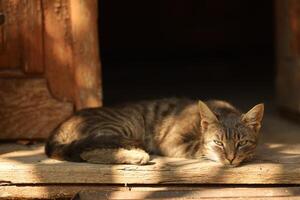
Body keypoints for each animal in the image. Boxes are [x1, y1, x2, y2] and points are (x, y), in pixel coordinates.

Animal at [44, 97, 262, 166]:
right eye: (218, 143)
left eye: (242, 142)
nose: (231, 158)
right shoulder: (173, 142)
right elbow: (200, 150)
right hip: (123, 124)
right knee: (89, 152)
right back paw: (136, 156)